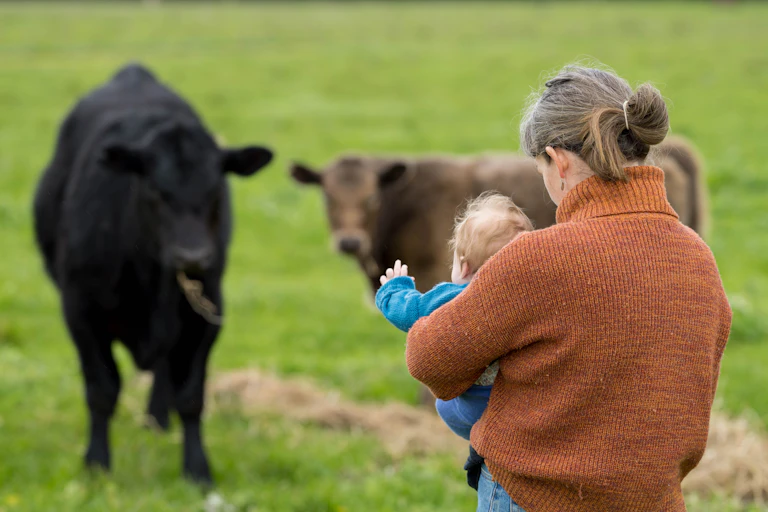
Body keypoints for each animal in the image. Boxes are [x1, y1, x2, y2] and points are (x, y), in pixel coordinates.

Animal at [32, 63, 274, 484]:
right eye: (156, 191)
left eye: (216, 190)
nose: (192, 256)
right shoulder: (79, 310)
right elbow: (101, 389)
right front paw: (97, 464)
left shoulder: (206, 313)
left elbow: (191, 395)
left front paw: (197, 469)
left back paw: (158, 419)